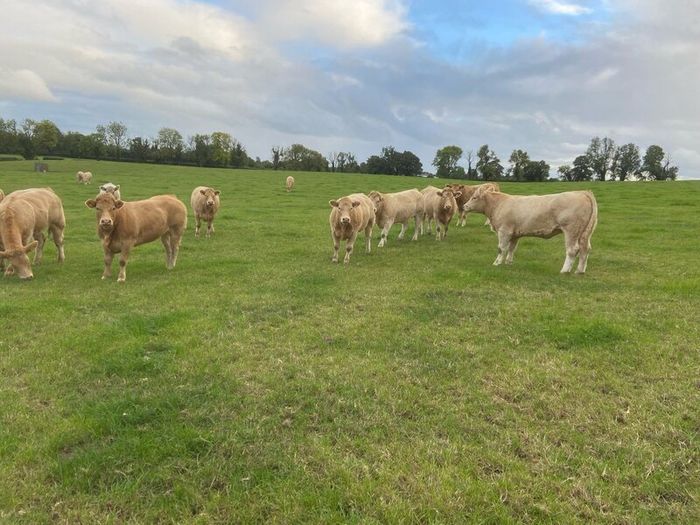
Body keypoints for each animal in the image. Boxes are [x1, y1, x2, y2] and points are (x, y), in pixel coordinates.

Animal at [462, 186, 598, 273]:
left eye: (474, 197)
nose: (464, 206)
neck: (498, 205)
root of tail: (582, 192)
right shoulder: (514, 234)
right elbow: (511, 248)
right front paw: (508, 262)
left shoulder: (504, 231)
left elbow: (501, 248)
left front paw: (497, 263)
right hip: (585, 233)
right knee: (585, 249)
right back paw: (580, 271)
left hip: (571, 230)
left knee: (572, 250)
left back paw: (564, 270)